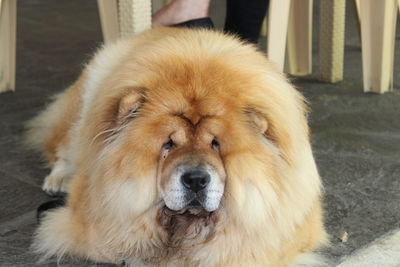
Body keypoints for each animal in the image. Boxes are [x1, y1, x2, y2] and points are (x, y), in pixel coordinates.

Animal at [28, 28, 328, 266]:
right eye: (168, 144)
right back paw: (58, 179)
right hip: (82, 112)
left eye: (216, 144)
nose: (195, 179)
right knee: (63, 149)